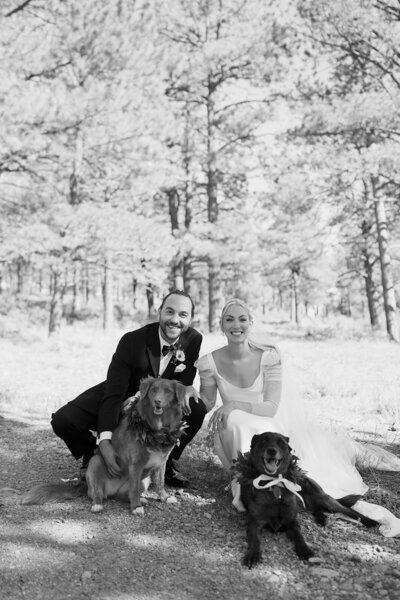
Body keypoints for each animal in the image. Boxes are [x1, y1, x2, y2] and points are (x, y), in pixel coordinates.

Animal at [23, 378, 188, 512]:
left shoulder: (161, 461)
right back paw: (99, 504)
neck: (155, 430)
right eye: (153, 390)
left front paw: (165, 497)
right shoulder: (136, 463)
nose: (157, 401)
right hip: (96, 463)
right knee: (99, 494)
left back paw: (140, 499)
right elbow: (135, 488)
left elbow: (160, 482)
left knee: (126, 494)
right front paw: (136, 508)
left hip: (144, 480)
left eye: (168, 392)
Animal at [233, 432, 376, 568]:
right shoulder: (254, 522)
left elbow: (299, 536)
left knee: (347, 510)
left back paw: (370, 521)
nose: (272, 450)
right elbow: (255, 540)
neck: (274, 483)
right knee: (317, 509)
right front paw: (253, 555)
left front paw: (305, 550)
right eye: (263, 440)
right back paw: (322, 518)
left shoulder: (292, 521)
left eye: (281, 443)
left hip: (323, 498)